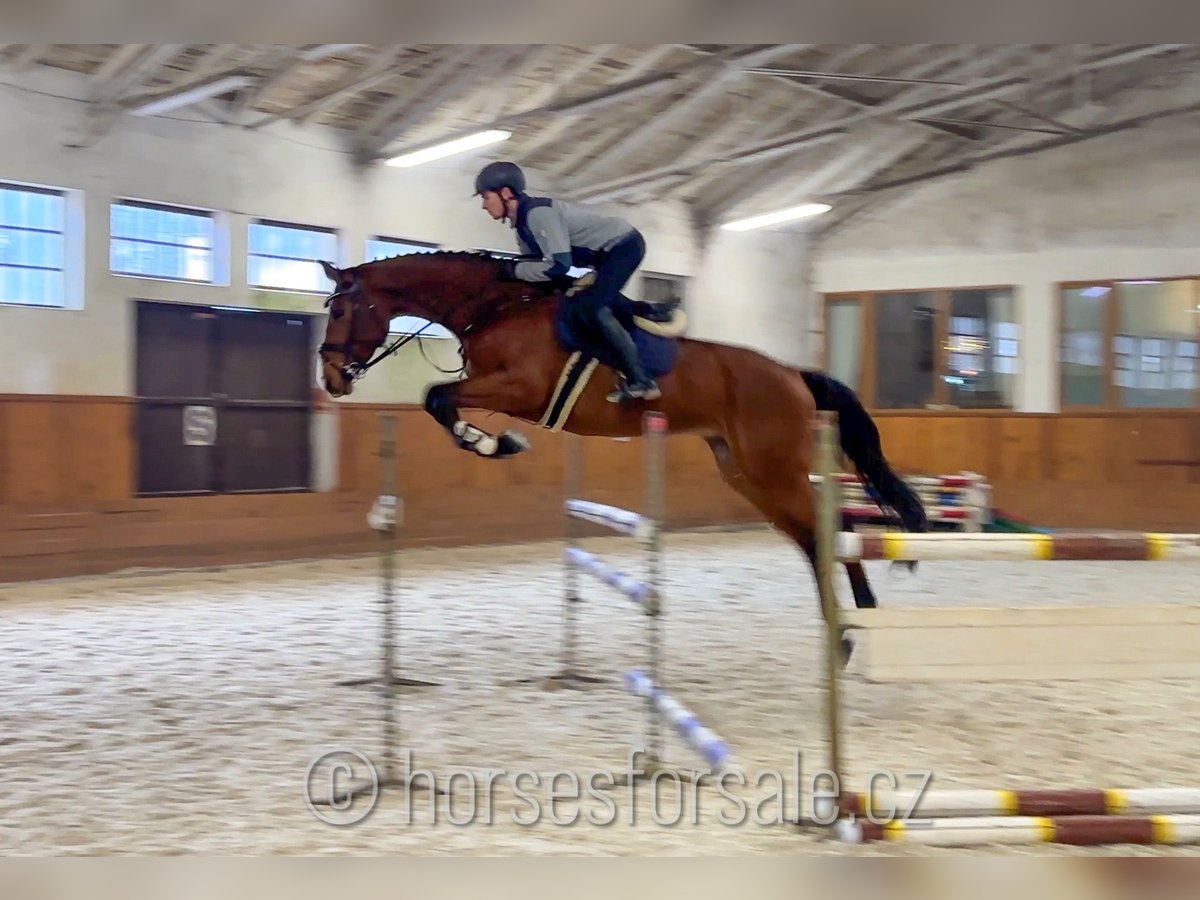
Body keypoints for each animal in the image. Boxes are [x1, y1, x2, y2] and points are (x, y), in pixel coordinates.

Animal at [314, 252, 921, 648]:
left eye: (340, 311)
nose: (331, 379)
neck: (498, 305)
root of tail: (793, 373)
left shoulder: (519, 388)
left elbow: (437, 397)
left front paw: (492, 441)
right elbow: (437, 398)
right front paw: (490, 441)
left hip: (774, 470)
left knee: (832, 528)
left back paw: (856, 624)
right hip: (748, 475)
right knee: (816, 536)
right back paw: (849, 630)